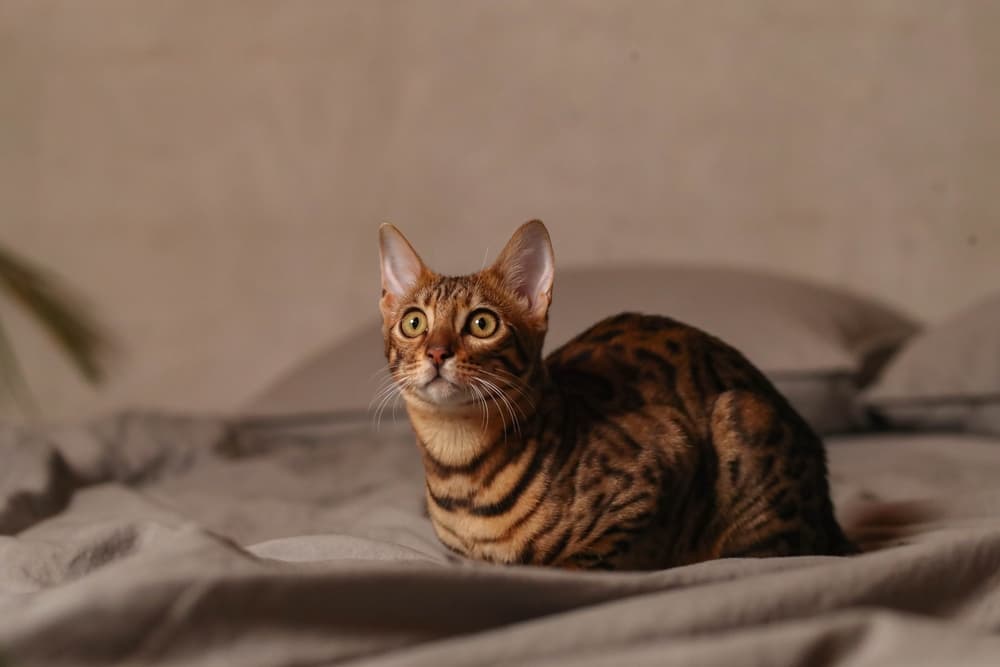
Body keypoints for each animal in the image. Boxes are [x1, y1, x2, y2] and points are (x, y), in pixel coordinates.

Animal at [378, 222, 856, 572]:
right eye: (414, 323)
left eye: (482, 324)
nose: (437, 352)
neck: (459, 469)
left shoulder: (663, 462)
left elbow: (579, 560)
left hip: (743, 415)